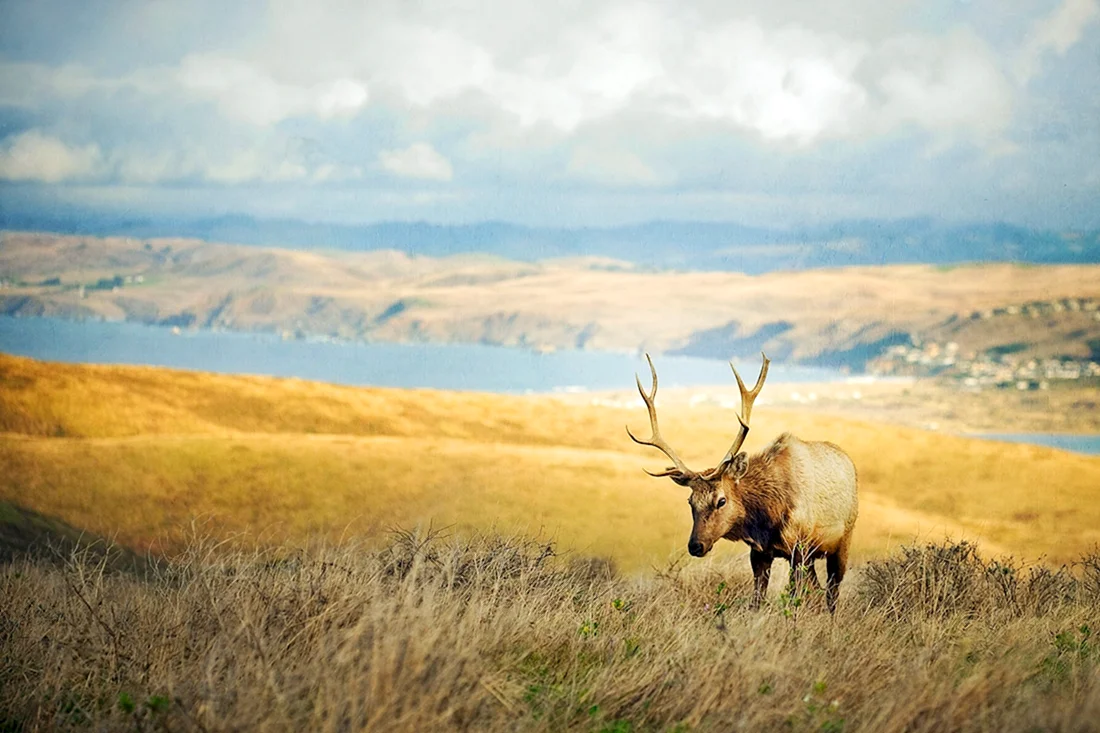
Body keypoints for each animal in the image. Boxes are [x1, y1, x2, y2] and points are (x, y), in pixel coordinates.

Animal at [626, 353, 858, 613]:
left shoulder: (799, 548)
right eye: (690, 501)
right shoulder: (759, 553)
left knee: (832, 593)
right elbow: (757, 600)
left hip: (842, 541)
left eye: (721, 500)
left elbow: (793, 600)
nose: (695, 546)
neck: (767, 517)